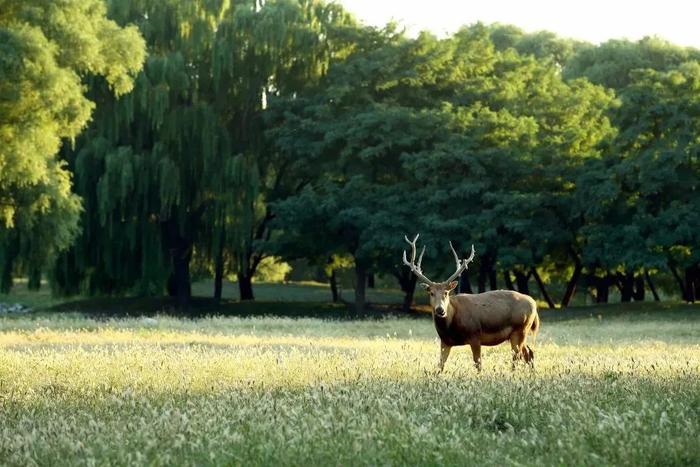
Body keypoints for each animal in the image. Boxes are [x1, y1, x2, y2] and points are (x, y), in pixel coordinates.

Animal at [402, 234, 540, 372]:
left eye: (446, 292)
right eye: (431, 293)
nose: (440, 309)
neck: (451, 326)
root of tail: (534, 303)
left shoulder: (475, 335)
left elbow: (478, 364)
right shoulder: (445, 341)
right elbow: (440, 365)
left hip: (520, 328)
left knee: (517, 357)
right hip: (519, 333)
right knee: (528, 353)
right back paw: (532, 373)